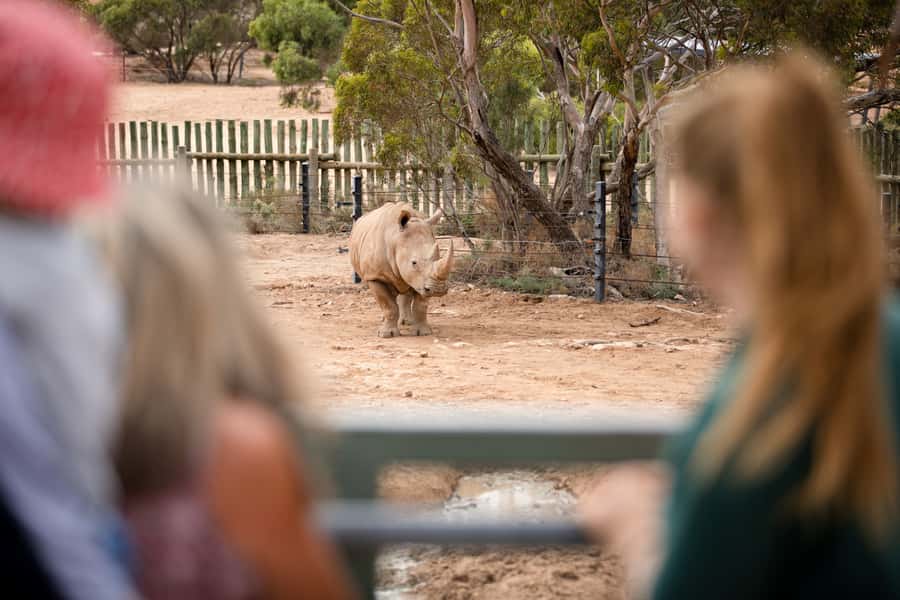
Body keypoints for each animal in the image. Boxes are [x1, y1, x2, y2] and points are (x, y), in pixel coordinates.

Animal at [350, 202, 454, 337]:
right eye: (414, 262)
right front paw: (387, 334)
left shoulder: (423, 281)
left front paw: (424, 332)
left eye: (438, 257)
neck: (395, 239)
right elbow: (388, 305)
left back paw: (407, 322)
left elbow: (420, 306)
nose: (438, 289)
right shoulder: (374, 276)